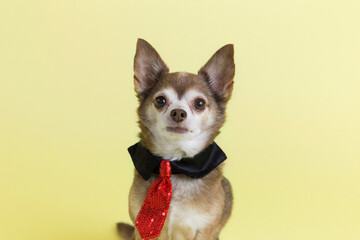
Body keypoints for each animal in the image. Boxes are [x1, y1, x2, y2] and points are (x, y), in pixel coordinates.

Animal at [118, 38, 235, 239]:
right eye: (160, 100)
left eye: (199, 103)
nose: (178, 113)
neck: (175, 166)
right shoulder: (141, 230)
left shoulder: (204, 231)